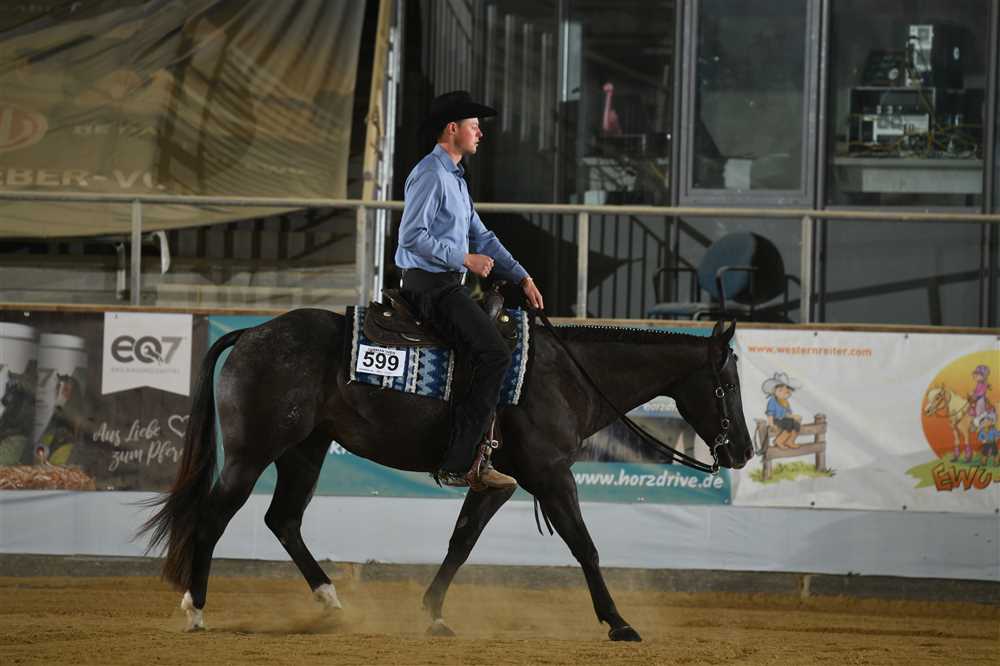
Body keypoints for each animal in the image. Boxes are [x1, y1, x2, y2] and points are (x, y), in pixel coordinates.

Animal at [140, 308, 754, 641]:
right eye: (726, 385)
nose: (745, 451)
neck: (565, 376)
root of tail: (250, 335)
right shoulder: (552, 475)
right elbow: (585, 546)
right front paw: (618, 622)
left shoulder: (497, 481)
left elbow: (461, 542)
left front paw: (432, 614)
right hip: (252, 453)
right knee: (214, 518)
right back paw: (195, 611)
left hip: (304, 452)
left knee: (283, 520)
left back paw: (331, 602)